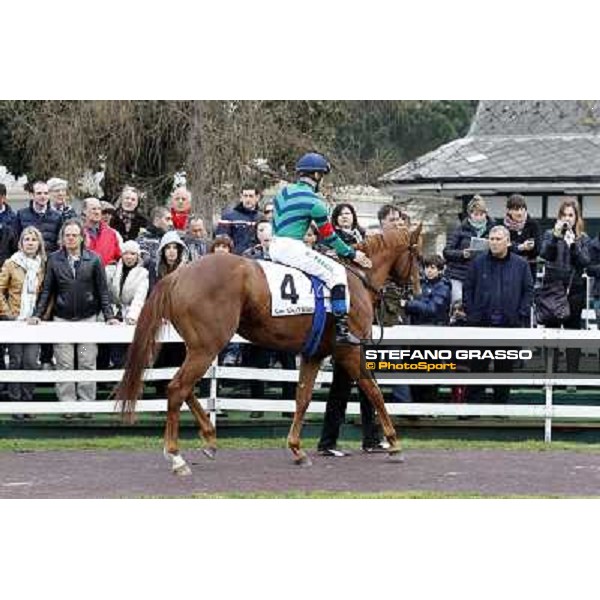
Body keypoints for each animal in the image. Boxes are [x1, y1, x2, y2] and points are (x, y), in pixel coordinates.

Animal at [113, 227, 422, 476]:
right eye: (417, 255)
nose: (416, 290)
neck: (355, 280)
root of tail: (178, 275)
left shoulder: (313, 354)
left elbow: (302, 398)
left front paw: (297, 449)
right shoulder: (349, 351)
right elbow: (374, 391)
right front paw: (394, 443)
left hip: (198, 347)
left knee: (182, 388)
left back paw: (210, 439)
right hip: (207, 347)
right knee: (177, 388)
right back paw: (176, 457)